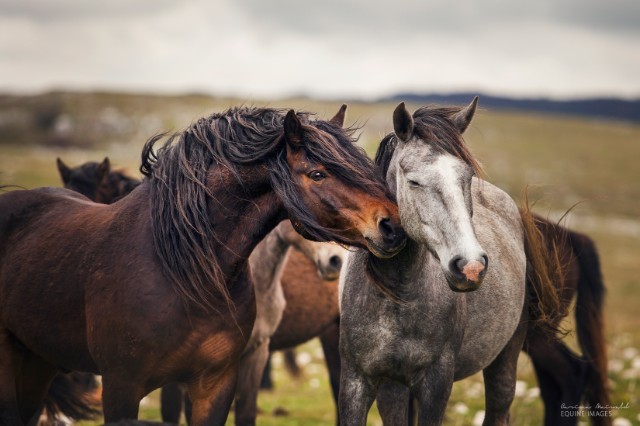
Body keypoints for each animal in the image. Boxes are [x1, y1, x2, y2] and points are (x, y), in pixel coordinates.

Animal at [338, 98, 563, 425]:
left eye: (466, 177)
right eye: (413, 181)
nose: (470, 266)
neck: (397, 295)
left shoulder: (437, 384)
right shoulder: (357, 381)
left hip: (505, 357)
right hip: (394, 387)